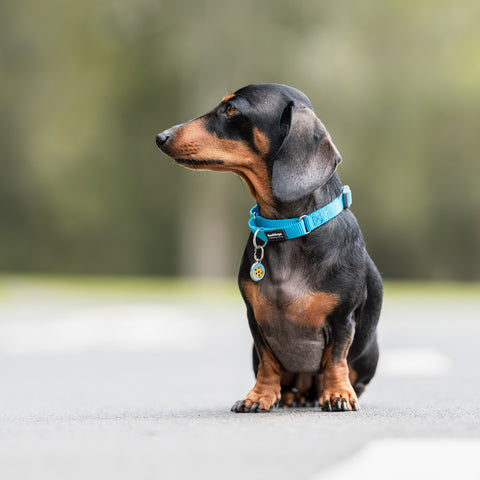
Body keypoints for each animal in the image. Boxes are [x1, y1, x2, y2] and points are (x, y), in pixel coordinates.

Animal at [157, 83, 382, 412]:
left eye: (231, 109)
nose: (161, 137)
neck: (287, 229)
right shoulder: (257, 320)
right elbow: (269, 364)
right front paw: (259, 396)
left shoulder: (342, 319)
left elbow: (336, 360)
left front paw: (339, 394)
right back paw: (289, 396)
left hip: (369, 354)